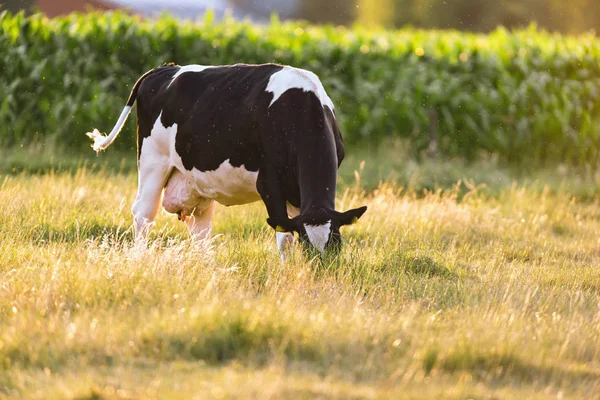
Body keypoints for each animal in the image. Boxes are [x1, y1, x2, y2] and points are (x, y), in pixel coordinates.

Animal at [84, 62, 366, 256]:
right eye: (310, 248)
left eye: (336, 245)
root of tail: (164, 69)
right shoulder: (269, 183)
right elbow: (284, 234)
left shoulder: (296, 191)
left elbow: (291, 227)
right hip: (153, 162)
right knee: (143, 214)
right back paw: (140, 257)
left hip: (195, 183)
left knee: (199, 227)